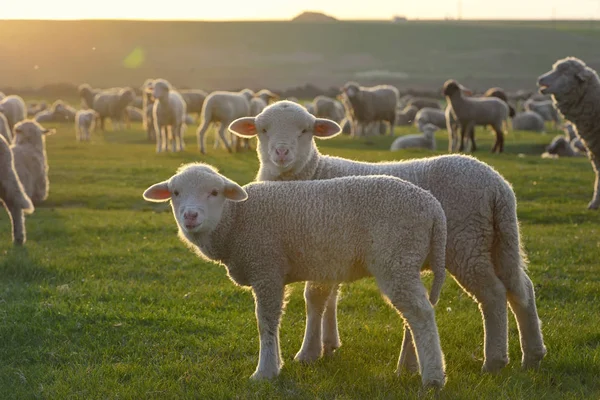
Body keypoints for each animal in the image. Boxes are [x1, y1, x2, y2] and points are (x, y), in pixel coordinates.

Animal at [143, 162, 448, 388]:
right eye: (175, 193)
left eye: (215, 192)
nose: (190, 216)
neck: (236, 220)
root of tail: (433, 206)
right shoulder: (269, 270)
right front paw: (276, 365)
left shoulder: (266, 267)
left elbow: (266, 322)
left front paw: (265, 372)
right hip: (404, 261)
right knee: (413, 315)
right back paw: (410, 367)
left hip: (396, 256)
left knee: (420, 313)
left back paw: (433, 377)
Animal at [227, 101, 548, 376]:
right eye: (262, 129)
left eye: (305, 130)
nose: (281, 153)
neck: (313, 171)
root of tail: (498, 186)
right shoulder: (328, 252)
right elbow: (330, 299)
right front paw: (329, 345)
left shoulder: (319, 245)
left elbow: (315, 299)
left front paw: (308, 353)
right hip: (500, 239)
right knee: (521, 288)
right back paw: (532, 355)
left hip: (466, 243)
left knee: (493, 294)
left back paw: (494, 361)